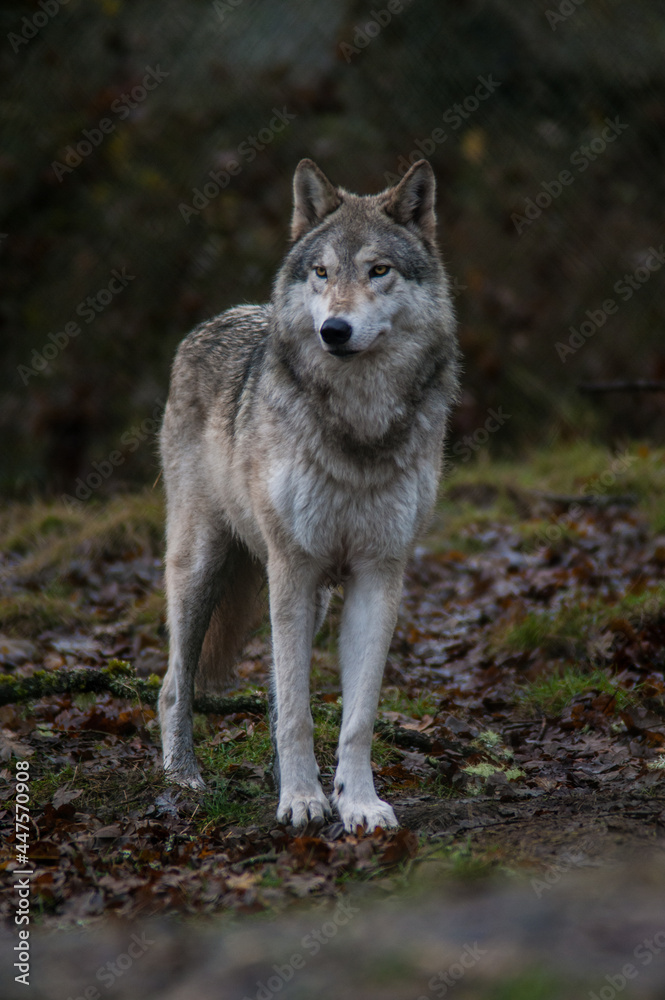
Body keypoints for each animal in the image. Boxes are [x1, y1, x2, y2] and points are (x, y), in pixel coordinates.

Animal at [158, 158, 460, 832]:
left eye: (379, 270)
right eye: (322, 271)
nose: (334, 330)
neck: (358, 428)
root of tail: (214, 320)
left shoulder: (379, 572)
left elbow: (356, 715)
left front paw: (358, 802)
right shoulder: (293, 567)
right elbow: (299, 708)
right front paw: (300, 800)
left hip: (311, 594)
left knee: (271, 690)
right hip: (203, 568)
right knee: (173, 684)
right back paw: (183, 778)